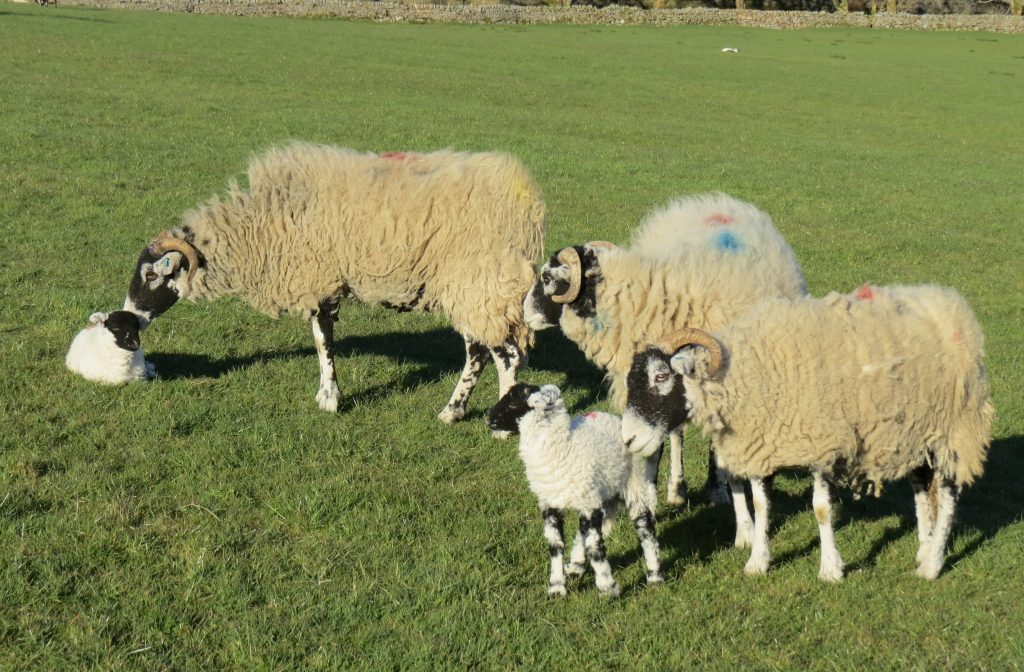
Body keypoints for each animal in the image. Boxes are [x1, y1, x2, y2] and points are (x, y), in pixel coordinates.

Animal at [121, 142, 544, 422]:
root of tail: (526, 203)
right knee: (480, 351)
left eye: (150, 275)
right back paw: (452, 411)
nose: (127, 318)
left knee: (506, 355)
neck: (257, 226)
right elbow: (323, 338)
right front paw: (329, 394)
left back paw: (502, 420)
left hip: (481, 281)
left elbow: (322, 340)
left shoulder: (317, 279)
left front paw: (329, 398)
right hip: (473, 289)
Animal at [487, 383, 663, 598]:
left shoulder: (589, 505)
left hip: (634, 483)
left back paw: (654, 575)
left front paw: (607, 588)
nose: (488, 418)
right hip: (600, 493)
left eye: (512, 403)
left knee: (644, 526)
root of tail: (616, 419)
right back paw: (576, 565)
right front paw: (556, 587)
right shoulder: (551, 504)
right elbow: (555, 545)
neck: (562, 447)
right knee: (587, 529)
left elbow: (595, 546)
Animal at [618, 286, 995, 581]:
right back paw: (924, 547)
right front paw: (758, 561)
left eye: (662, 377)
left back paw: (932, 564)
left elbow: (821, 509)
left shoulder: (822, 447)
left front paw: (830, 568)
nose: (628, 440)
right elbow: (760, 504)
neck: (746, 373)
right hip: (915, 433)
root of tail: (951, 303)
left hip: (953, 430)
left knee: (947, 492)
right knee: (922, 488)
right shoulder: (764, 446)